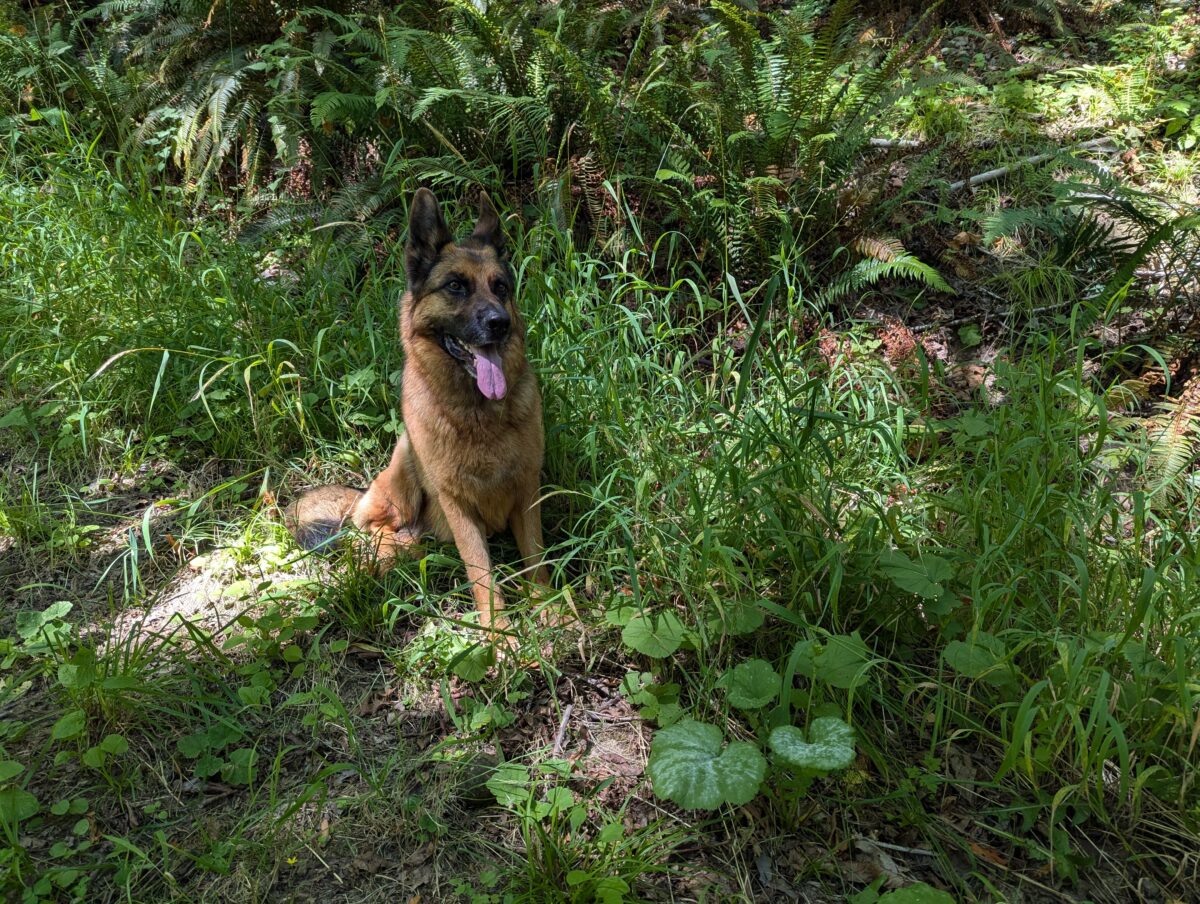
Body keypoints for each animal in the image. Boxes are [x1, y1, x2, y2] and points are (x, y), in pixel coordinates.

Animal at [288, 186, 549, 629]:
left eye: (500, 287)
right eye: (456, 286)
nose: (499, 323)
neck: (478, 415)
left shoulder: (527, 493)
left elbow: (539, 564)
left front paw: (557, 614)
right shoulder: (458, 505)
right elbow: (482, 574)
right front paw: (500, 636)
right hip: (403, 472)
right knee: (369, 532)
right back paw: (395, 548)